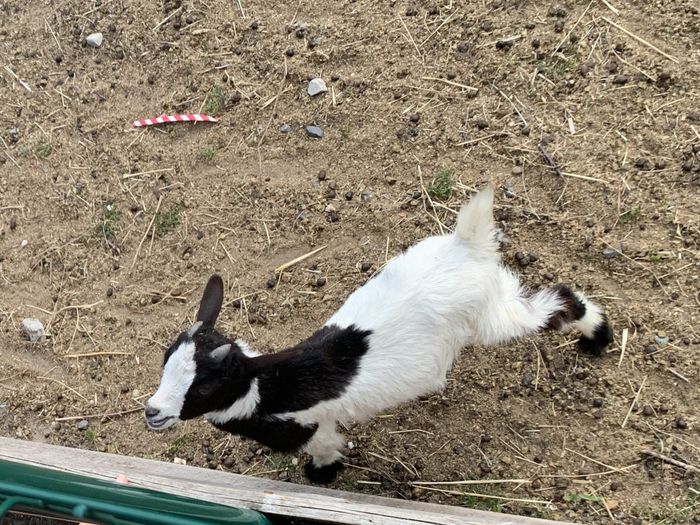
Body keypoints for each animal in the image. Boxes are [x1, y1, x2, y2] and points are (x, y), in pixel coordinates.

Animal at [146, 187, 612, 484]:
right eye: (164, 363)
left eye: (205, 386)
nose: (153, 411)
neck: (268, 392)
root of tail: (466, 246)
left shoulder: (315, 426)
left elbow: (325, 448)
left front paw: (322, 475)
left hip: (488, 317)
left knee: (555, 304)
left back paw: (599, 336)